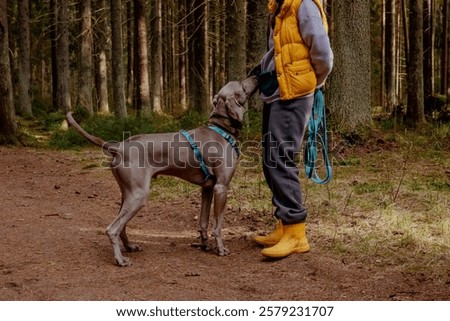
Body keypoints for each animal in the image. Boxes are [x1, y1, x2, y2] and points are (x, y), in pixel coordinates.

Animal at [65, 75, 258, 264]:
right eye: (241, 83)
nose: (256, 75)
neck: (221, 129)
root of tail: (119, 147)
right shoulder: (221, 187)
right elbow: (218, 225)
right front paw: (220, 249)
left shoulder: (208, 188)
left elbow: (203, 221)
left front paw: (205, 244)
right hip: (138, 195)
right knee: (112, 228)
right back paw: (120, 259)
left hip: (128, 193)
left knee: (121, 225)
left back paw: (129, 246)